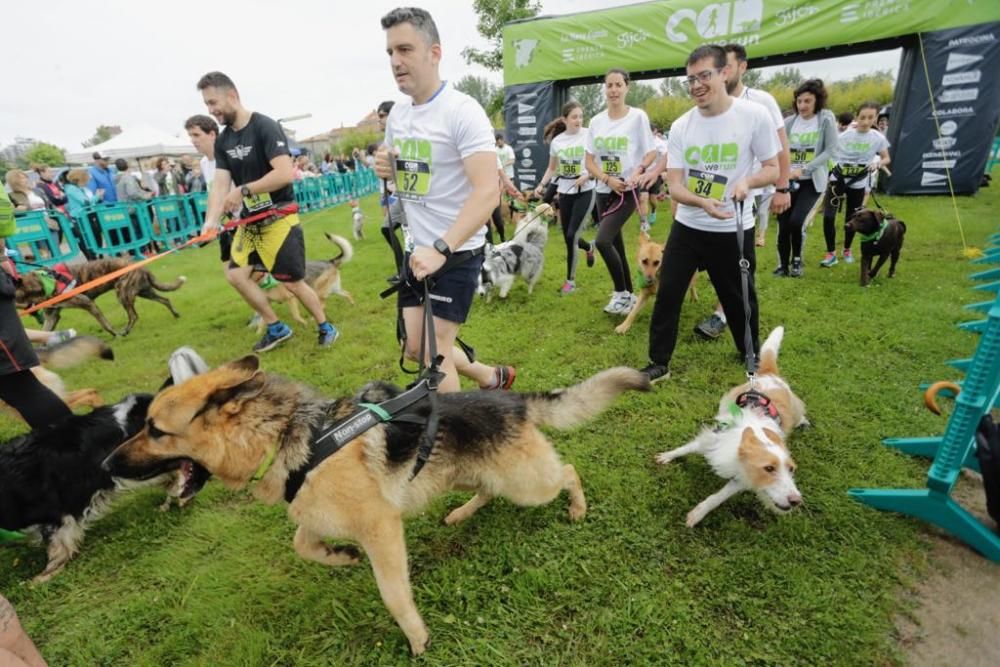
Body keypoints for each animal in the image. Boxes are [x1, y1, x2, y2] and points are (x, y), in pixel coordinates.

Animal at [15, 258, 188, 336]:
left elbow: (105, 324)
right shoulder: (52, 315)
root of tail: (141, 266)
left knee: (133, 315)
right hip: (144, 292)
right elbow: (44, 332)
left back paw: (125, 331)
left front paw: (114, 334)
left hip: (123, 293)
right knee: (165, 299)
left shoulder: (88, 303)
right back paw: (176, 315)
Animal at [101, 358, 648, 656]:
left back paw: (576, 507)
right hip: (471, 472)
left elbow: (394, 595)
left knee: (569, 471)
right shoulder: (317, 514)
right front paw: (338, 557)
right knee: (488, 490)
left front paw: (417, 638)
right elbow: (303, 541)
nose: (105, 463)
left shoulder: (381, 528)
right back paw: (461, 513)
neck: (286, 439)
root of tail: (514, 403)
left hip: (527, 483)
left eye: (155, 430)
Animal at [656, 328, 804, 528]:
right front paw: (668, 456)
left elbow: (717, 497)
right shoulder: (715, 438)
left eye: (791, 469)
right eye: (769, 468)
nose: (796, 500)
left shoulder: (741, 476)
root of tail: (771, 375)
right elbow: (688, 447)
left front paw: (697, 514)